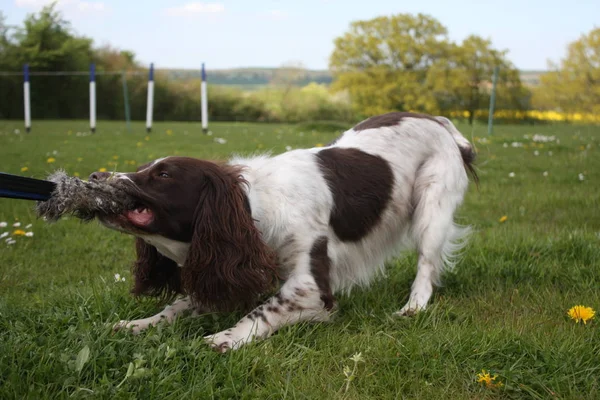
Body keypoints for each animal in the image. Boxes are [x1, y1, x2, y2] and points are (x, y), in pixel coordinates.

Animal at [91, 111, 478, 352]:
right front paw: (140, 324)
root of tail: (437, 119)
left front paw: (226, 338)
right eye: (144, 168)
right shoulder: (229, 269)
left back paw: (413, 307)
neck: (256, 211)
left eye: (163, 175)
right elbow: (177, 306)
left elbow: (264, 309)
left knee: (426, 264)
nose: (96, 176)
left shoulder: (310, 286)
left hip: (432, 206)